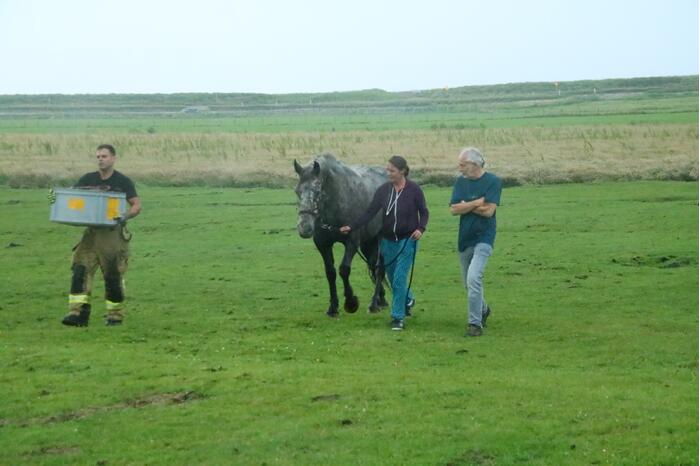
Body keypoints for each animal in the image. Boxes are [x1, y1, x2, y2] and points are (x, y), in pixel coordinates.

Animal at [293, 154, 388, 317]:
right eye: (297, 191)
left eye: (317, 191)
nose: (304, 227)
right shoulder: (323, 244)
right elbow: (330, 272)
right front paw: (333, 307)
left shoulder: (352, 241)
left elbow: (344, 269)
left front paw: (350, 302)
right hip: (369, 242)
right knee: (372, 265)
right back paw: (381, 299)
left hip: (382, 239)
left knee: (379, 268)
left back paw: (374, 304)